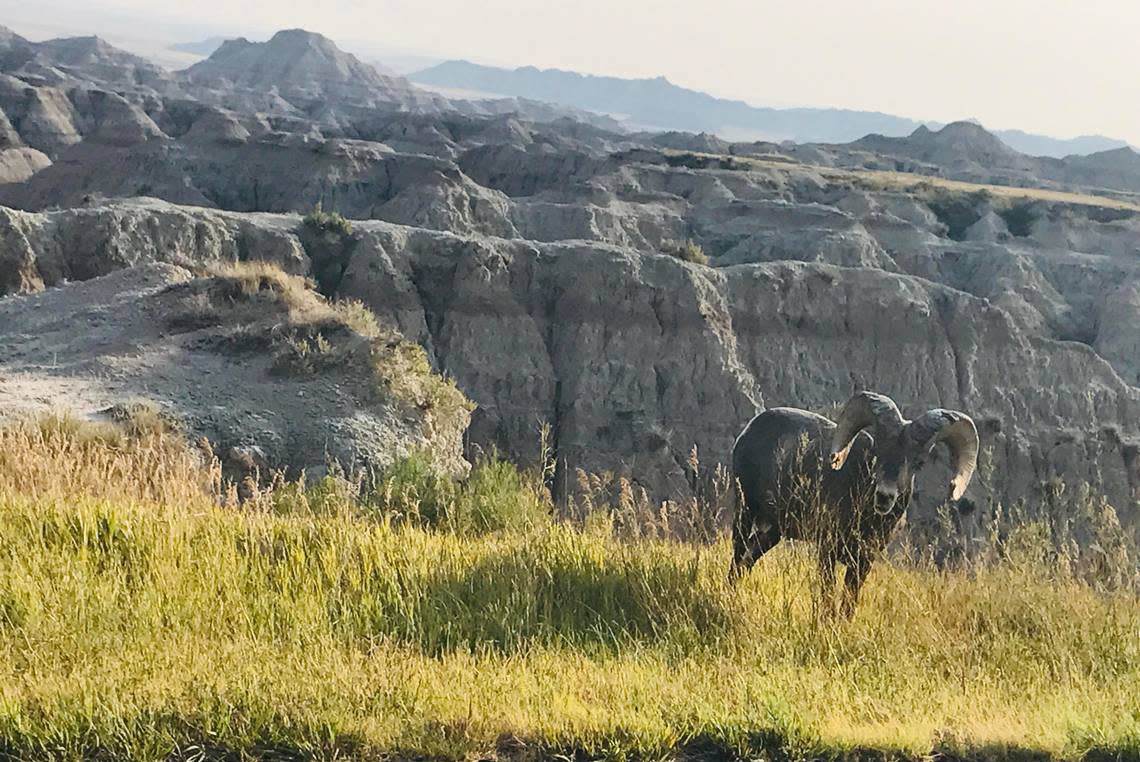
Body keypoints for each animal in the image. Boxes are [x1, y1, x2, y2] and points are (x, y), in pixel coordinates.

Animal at [729, 390, 980, 615]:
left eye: (919, 462)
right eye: (877, 452)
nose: (885, 496)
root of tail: (750, 430)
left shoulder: (863, 562)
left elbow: (848, 605)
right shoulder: (827, 551)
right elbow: (827, 599)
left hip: (773, 531)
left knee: (746, 561)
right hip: (745, 512)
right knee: (737, 559)